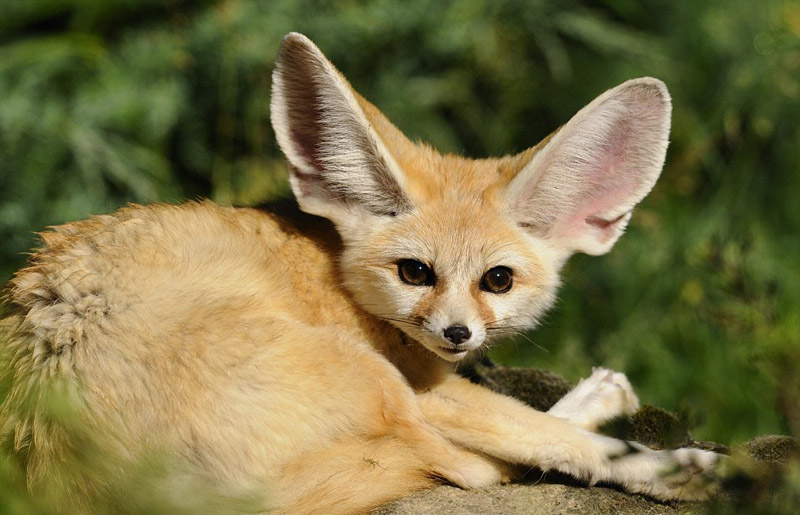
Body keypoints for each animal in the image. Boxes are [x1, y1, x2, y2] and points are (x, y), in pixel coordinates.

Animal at [0, 34, 720, 512]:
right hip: (377, 383)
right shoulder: (426, 386)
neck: (334, 272)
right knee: (470, 463)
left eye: (498, 281)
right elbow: (537, 436)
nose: (457, 334)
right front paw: (666, 465)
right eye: (414, 271)